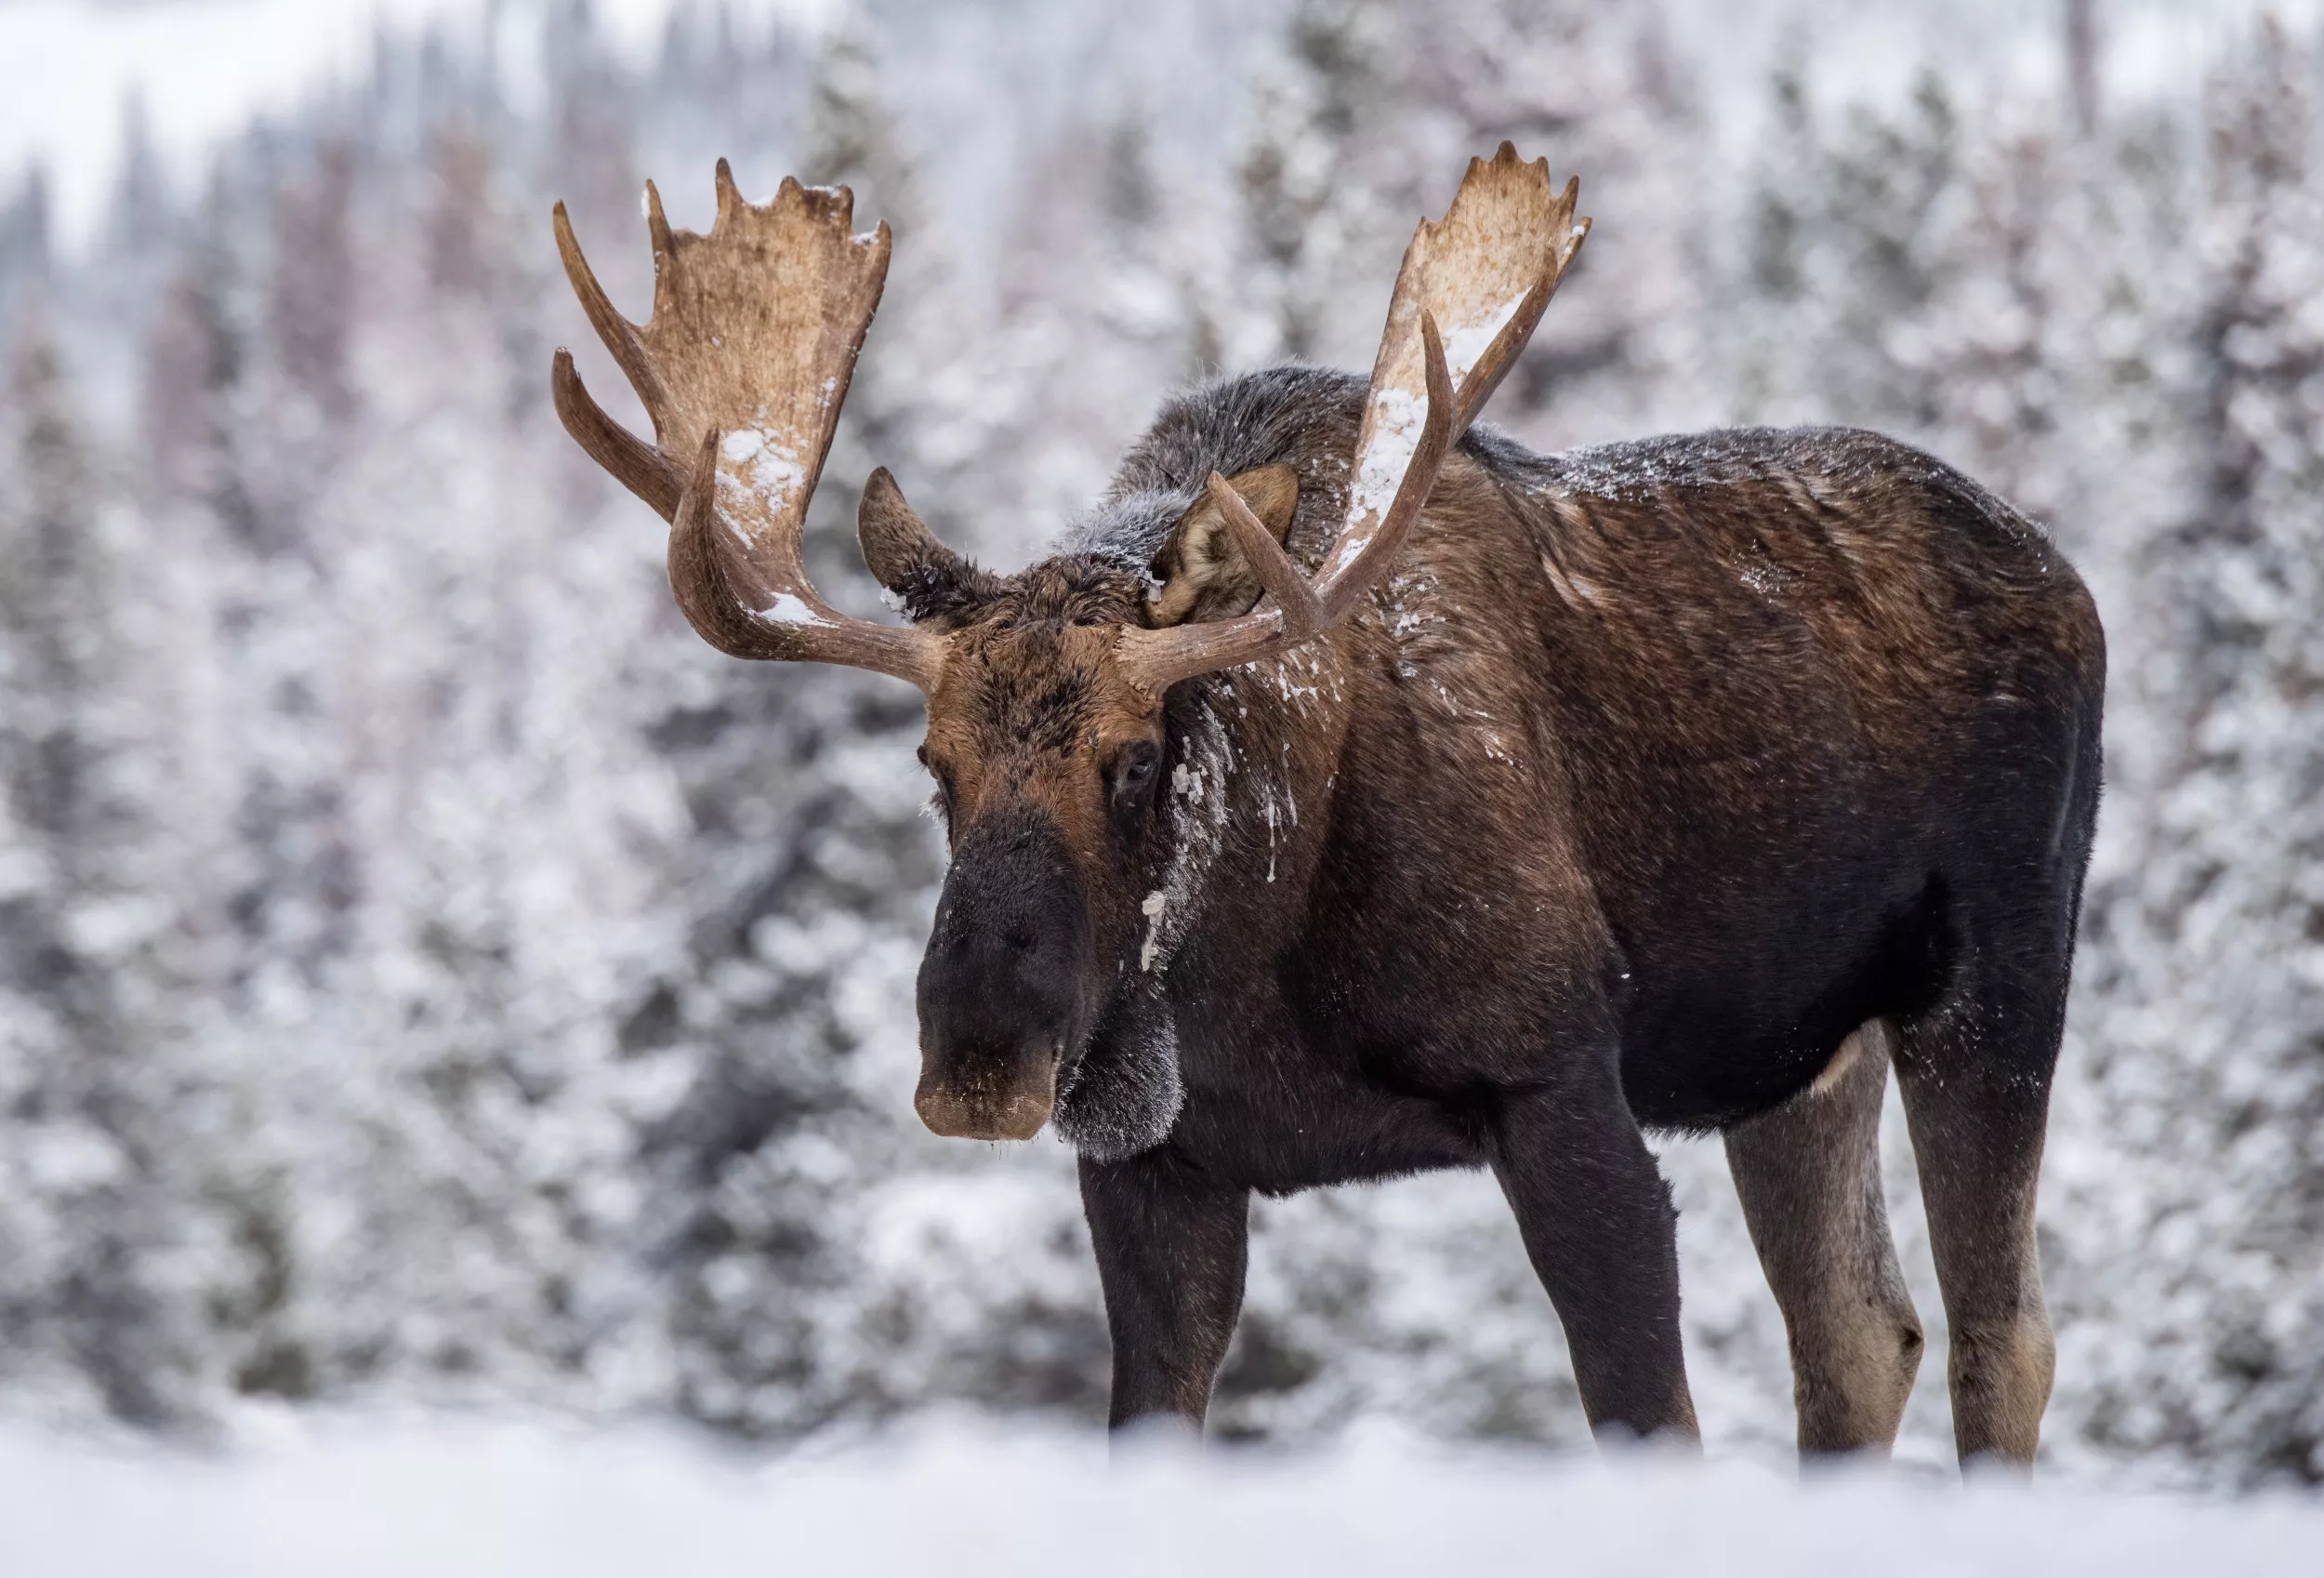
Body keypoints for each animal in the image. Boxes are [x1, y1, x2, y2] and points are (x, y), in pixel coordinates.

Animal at [548, 145, 2105, 1468]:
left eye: (1136, 756)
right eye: (934, 763)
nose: (981, 1056)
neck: (1257, 959)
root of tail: (2073, 581)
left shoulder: (1560, 1080)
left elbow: (1650, 1418)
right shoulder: (1156, 1166)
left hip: (1995, 979)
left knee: (2002, 1337)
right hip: (1792, 1061)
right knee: (1860, 1336)